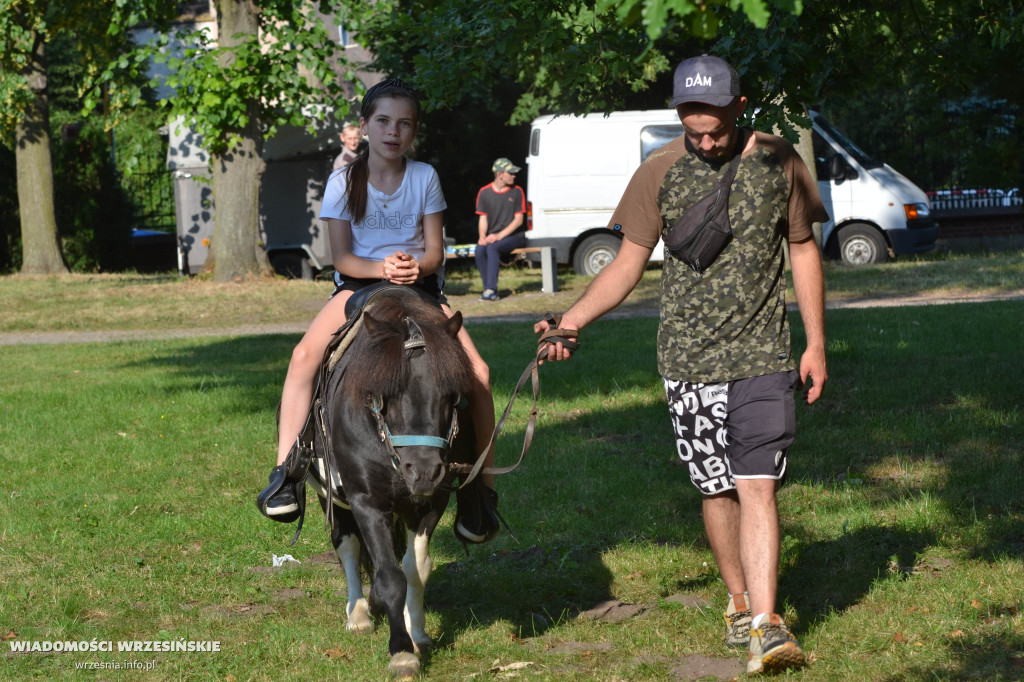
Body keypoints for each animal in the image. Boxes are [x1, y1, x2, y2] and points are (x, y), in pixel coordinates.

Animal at [305, 284, 477, 675]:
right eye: (389, 395)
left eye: (451, 395)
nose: (424, 470)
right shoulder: (367, 502)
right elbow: (389, 576)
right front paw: (401, 651)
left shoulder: (430, 504)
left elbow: (415, 569)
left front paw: (418, 634)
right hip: (331, 499)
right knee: (347, 547)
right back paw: (358, 614)